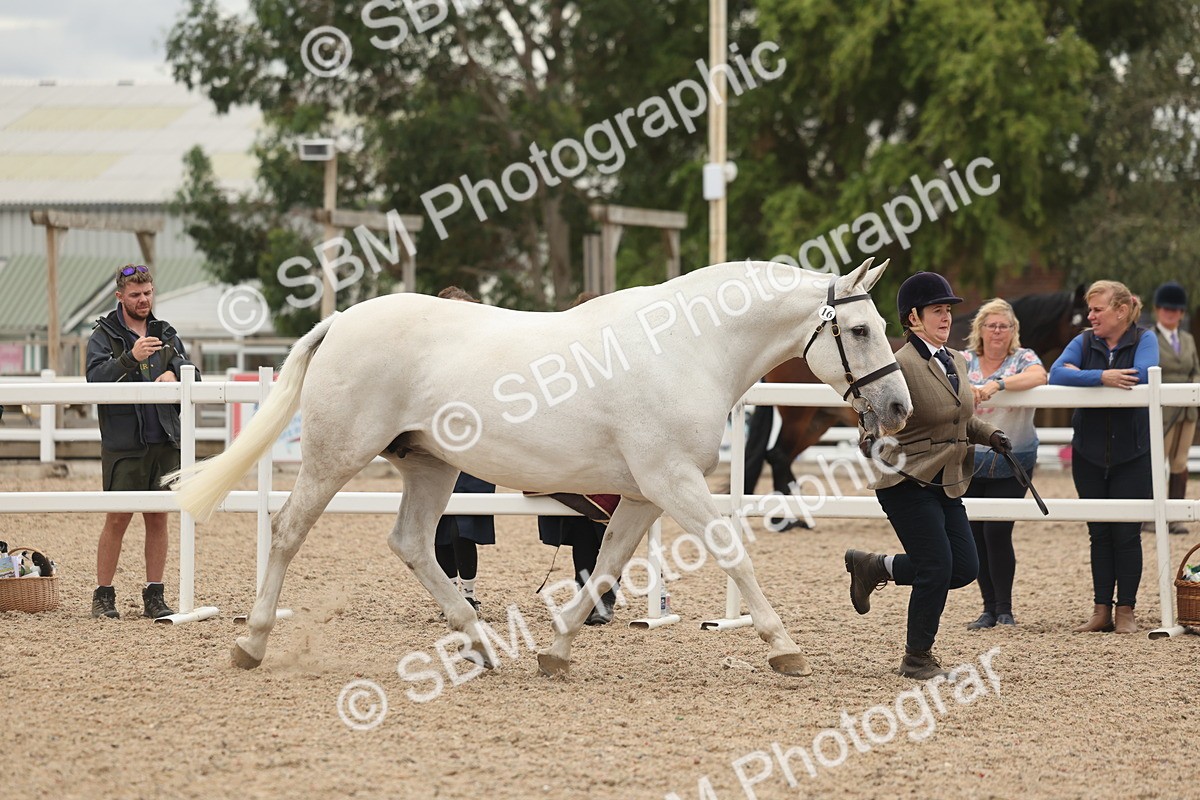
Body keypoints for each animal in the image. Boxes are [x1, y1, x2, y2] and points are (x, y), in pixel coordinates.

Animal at [166, 258, 912, 678]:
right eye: (862, 330)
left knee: (411, 543)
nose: (900, 406)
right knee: (289, 531)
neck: (685, 347)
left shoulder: (644, 493)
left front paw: (556, 652)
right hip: (334, 455)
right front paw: (784, 648)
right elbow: (734, 555)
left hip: (430, 467)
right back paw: (252, 644)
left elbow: (606, 565)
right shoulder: (672, 481)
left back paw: (483, 647)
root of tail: (342, 321)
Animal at [746, 286, 1087, 508]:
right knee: (778, 456)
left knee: (780, 457)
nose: (1088, 341)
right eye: (1076, 319)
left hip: (819, 420)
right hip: (799, 415)